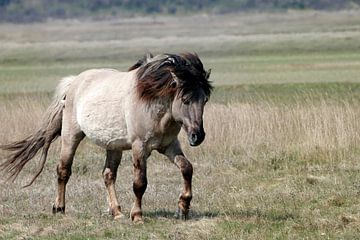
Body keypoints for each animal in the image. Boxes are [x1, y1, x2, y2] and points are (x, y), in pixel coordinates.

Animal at [0, 52, 212, 223]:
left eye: (205, 100)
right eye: (185, 99)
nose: (197, 136)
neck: (152, 102)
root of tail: (73, 82)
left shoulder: (169, 146)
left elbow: (187, 168)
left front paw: (183, 208)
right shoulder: (140, 147)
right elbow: (140, 183)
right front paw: (137, 216)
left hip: (114, 146)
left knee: (108, 175)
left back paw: (116, 212)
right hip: (71, 136)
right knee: (63, 171)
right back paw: (59, 208)